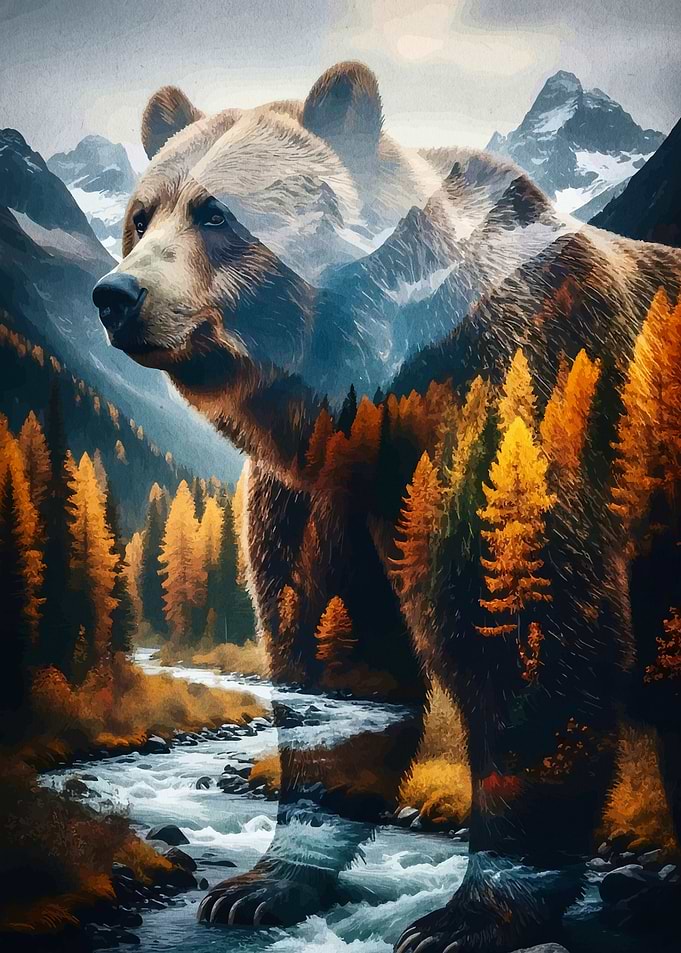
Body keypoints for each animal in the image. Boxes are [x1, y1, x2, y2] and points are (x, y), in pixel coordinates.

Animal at [92, 61, 681, 951]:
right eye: (140, 215)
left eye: (215, 212)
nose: (115, 294)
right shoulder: (317, 492)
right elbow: (332, 650)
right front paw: (259, 884)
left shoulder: (509, 409)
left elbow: (531, 638)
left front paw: (466, 913)